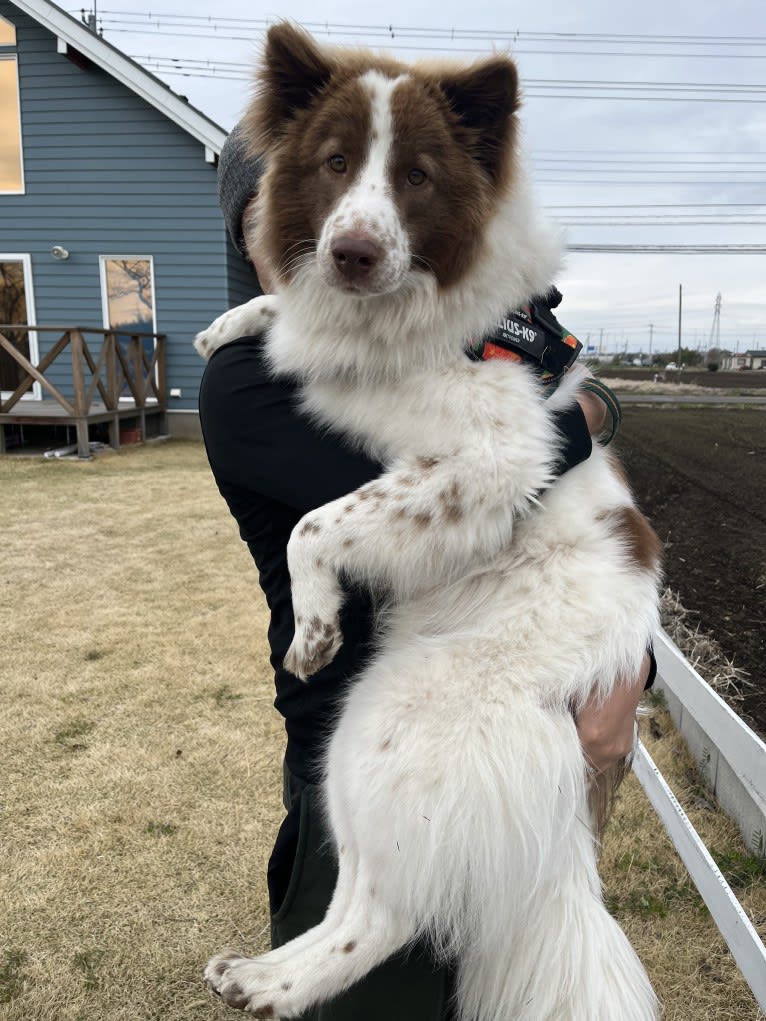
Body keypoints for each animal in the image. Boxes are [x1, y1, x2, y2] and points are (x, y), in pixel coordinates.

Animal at [195, 23, 661, 1021]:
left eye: (415, 176)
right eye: (334, 164)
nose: (353, 254)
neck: (397, 318)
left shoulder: (492, 462)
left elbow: (316, 524)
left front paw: (314, 623)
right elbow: (286, 312)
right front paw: (232, 320)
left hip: (389, 721)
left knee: (387, 915)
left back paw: (271, 985)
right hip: (355, 747)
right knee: (361, 892)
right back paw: (261, 970)